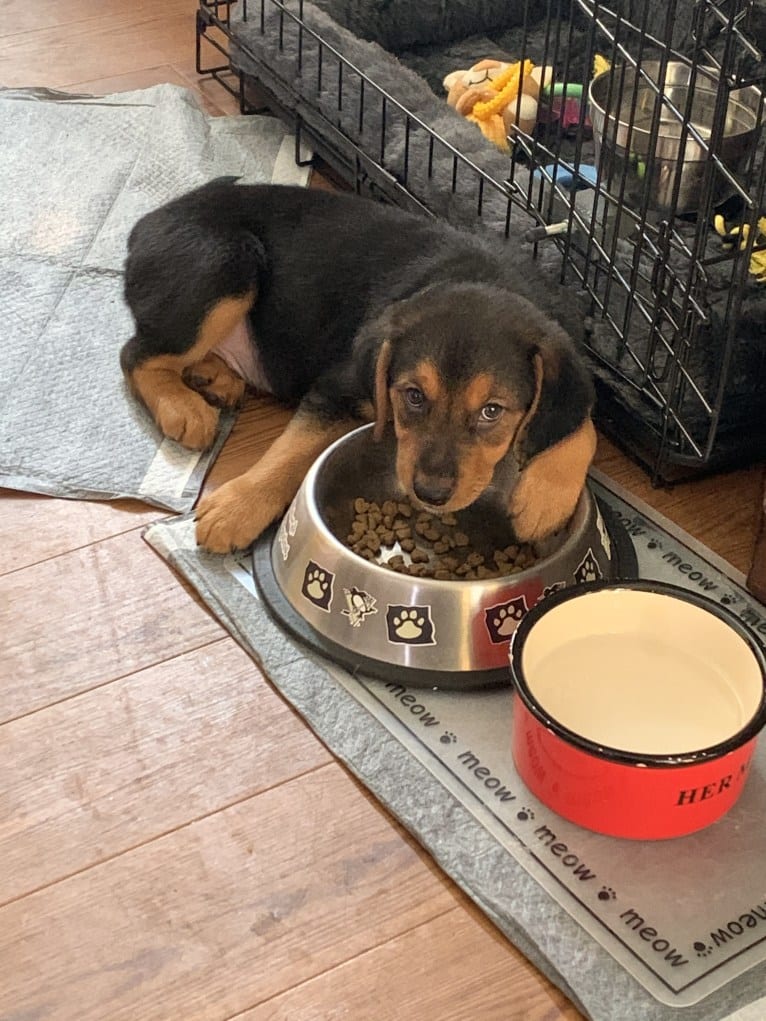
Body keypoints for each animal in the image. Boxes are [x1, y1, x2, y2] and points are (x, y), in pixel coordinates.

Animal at [121, 179, 600, 555]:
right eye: (413, 396)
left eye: (492, 412)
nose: (431, 493)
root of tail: (149, 220)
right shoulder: (338, 386)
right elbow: (291, 451)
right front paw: (235, 511)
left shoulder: (571, 371)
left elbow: (583, 421)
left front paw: (543, 501)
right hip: (229, 262)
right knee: (136, 352)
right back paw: (184, 408)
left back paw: (214, 378)